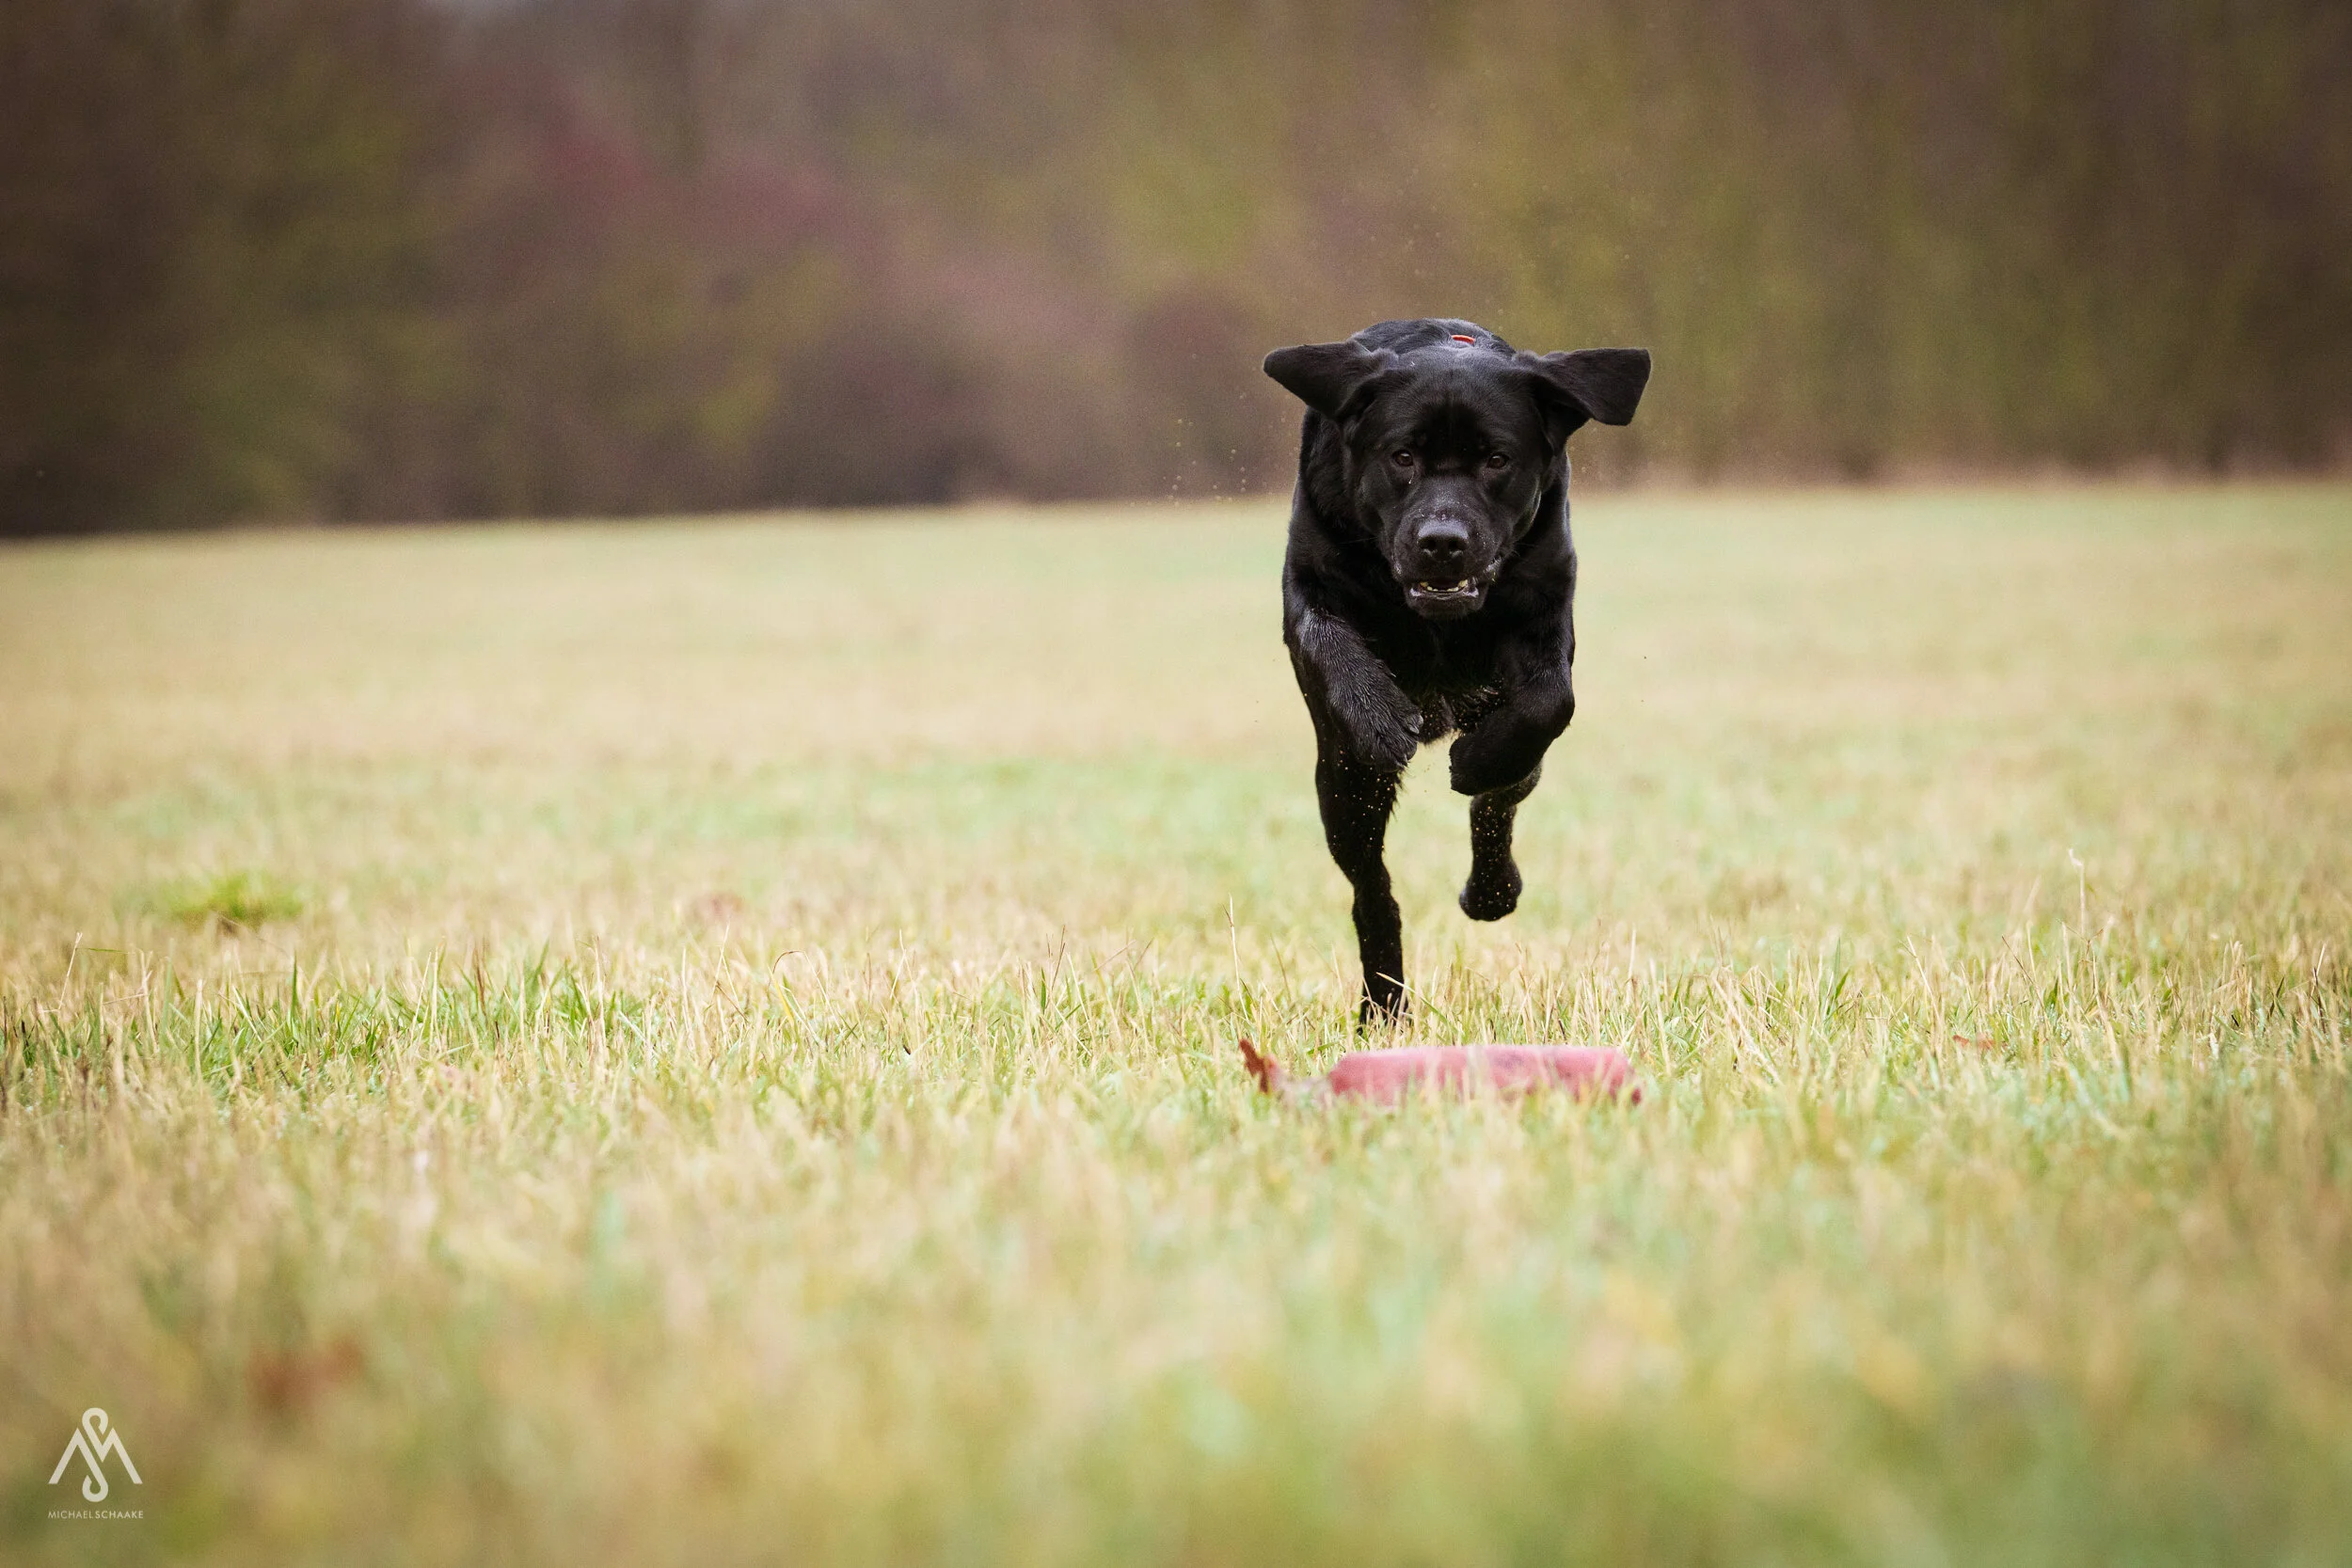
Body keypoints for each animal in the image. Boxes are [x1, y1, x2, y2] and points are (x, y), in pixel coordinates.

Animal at [1262, 318, 1650, 1023]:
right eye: (1402, 457)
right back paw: (1383, 1004)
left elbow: (1548, 705)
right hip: (1342, 788)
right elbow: (1326, 637)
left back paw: (1492, 887)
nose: (1442, 541)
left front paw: (1475, 763)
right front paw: (1379, 716)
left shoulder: (1545, 610)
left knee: (1502, 801)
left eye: (1497, 459)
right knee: (1372, 890)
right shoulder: (1309, 582)